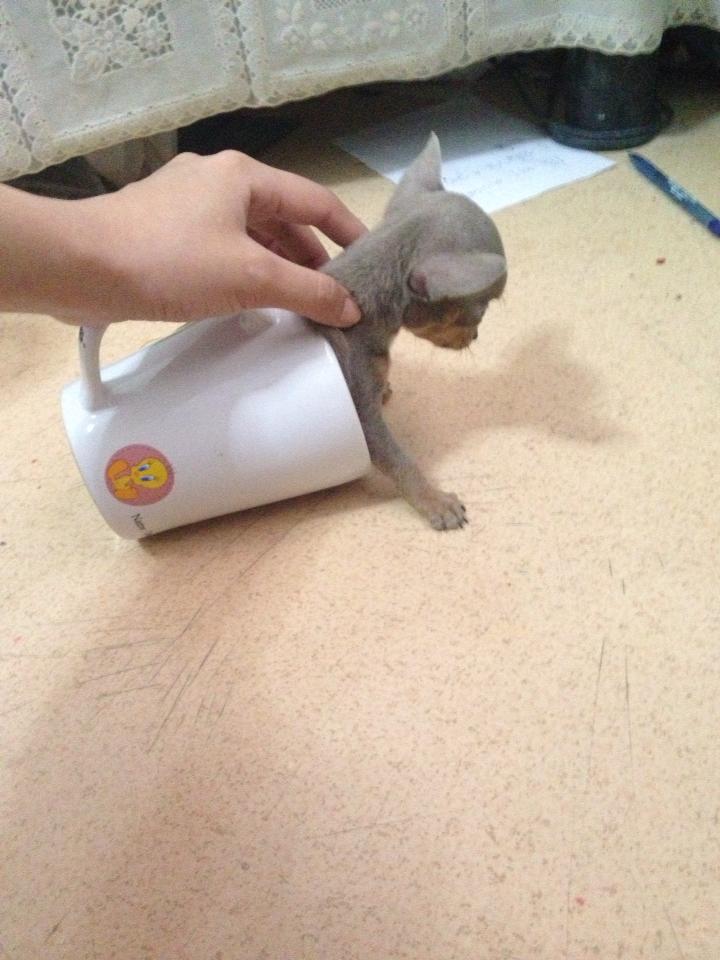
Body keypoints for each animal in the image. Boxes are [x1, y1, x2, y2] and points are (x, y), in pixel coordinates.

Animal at [315, 133, 507, 530]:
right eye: (478, 314)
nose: (476, 338)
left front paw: (386, 386)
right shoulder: (361, 419)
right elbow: (400, 461)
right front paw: (434, 500)